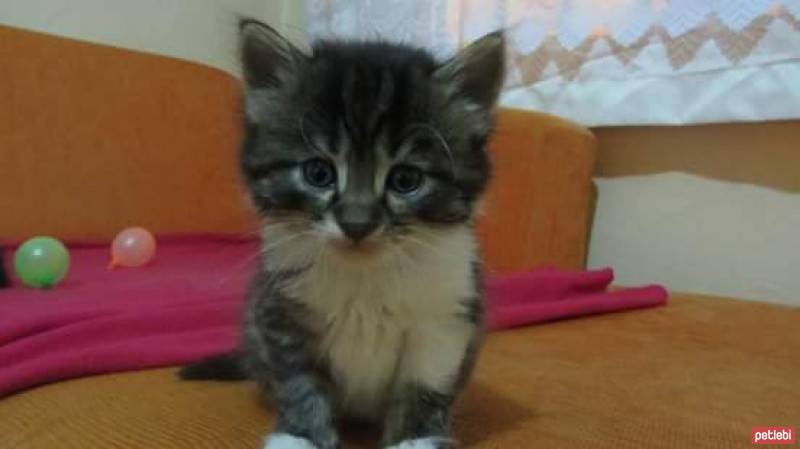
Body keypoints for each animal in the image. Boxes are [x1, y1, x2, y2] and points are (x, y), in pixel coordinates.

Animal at [182, 19, 506, 448]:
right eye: (318, 173)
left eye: (406, 180)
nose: (357, 224)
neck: (364, 275)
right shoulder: (281, 313)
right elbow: (300, 385)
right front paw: (301, 436)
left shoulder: (445, 319)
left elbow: (424, 386)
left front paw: (415, 439)